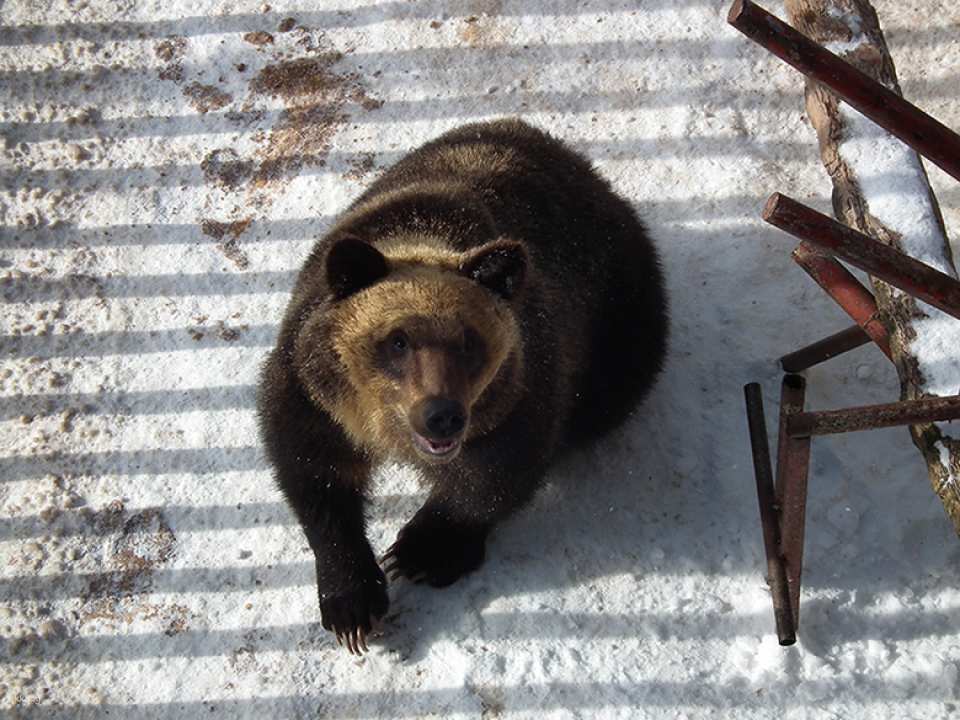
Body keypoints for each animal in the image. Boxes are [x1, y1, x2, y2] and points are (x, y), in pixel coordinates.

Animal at [256, 118, 668, 654]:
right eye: (397, 340)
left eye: (471, 340)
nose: (441, 415)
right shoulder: (314, 393)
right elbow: (314, 475)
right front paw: (352, 605)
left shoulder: (522, 388)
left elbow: (494, 475)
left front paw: (421, 550)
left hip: (620, 328)